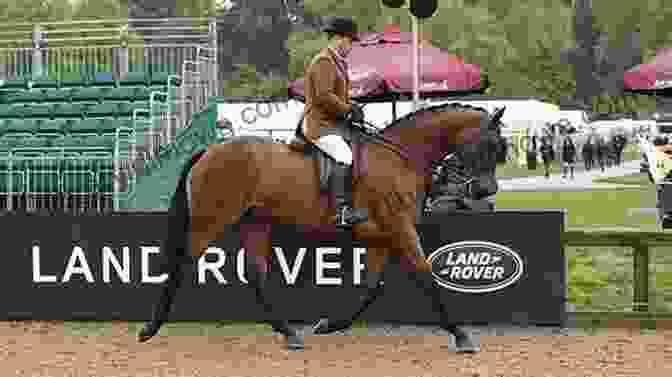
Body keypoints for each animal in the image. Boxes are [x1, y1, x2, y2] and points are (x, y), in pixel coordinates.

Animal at [136, 100, 504, 352]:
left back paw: (289, 334)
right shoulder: (400, 228)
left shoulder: (382, 236)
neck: (400, 158)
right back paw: (150, 329)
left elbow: (372, 287)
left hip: (256, 223)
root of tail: (209, 151)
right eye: (489, 146)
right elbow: (425, 275)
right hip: (210, 221)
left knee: (256, 274)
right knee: (181, 265)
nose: (486, 191)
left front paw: (329, 325)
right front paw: (461, 335)